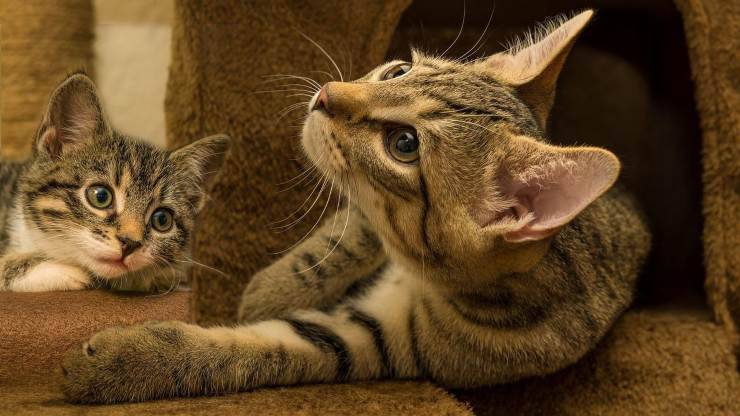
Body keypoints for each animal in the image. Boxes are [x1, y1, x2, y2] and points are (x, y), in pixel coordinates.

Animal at [65, 10, 652, 404]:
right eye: (397, 72)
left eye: (404, 144)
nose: (326, 94)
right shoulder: (364, 229)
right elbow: (344, 235)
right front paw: (273, 288)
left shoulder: (380, 340)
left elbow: (252, 350)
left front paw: (119, 365)